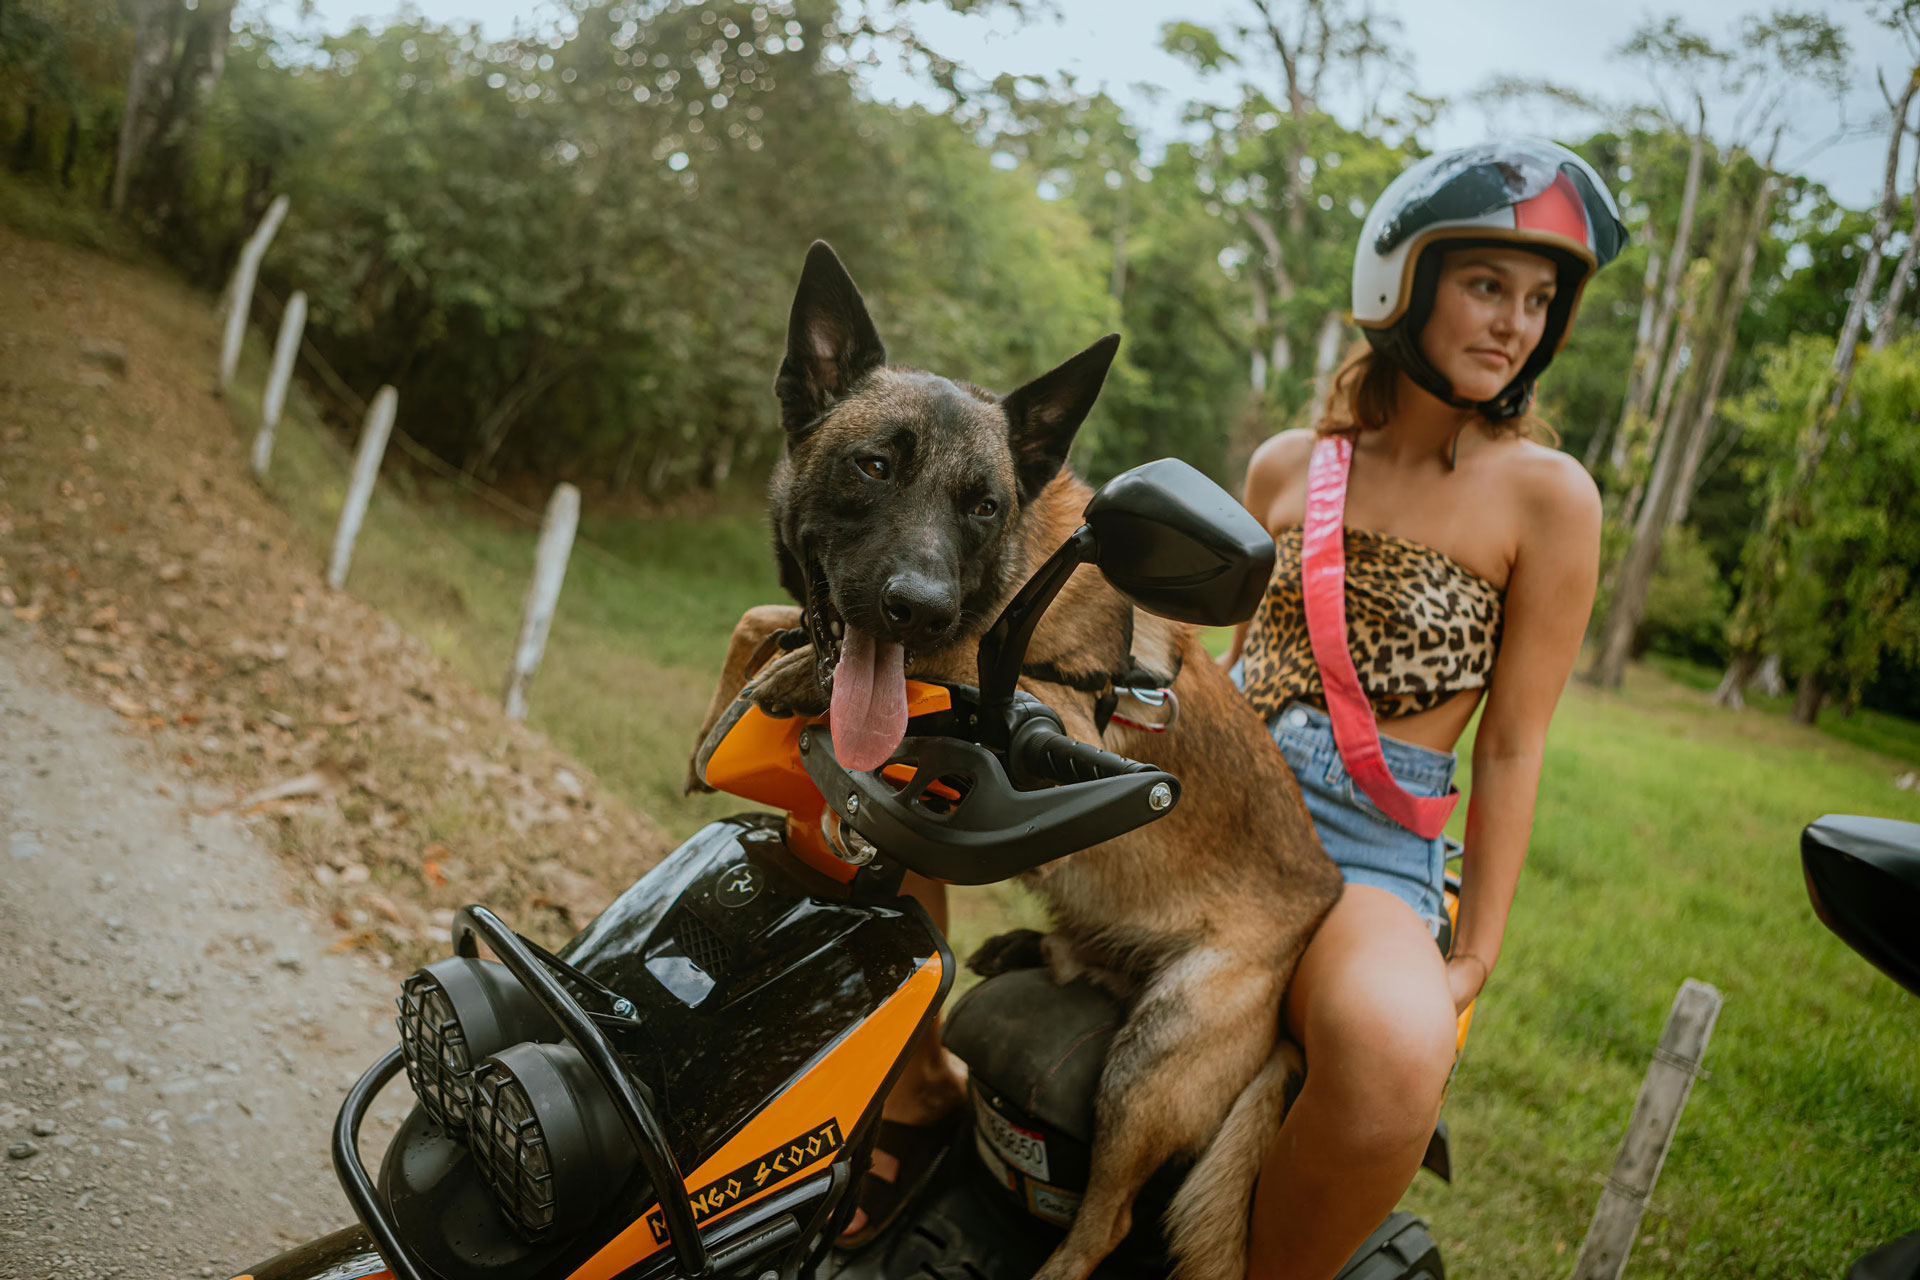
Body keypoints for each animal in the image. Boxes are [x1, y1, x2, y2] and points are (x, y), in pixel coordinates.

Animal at [691, 242, 1336, 1280]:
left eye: (984, 506)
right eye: (874, 466)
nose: (915, 604)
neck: (1022, 563)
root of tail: (1320, 919)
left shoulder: (1057, 714)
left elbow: (943, 662)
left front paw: (787, 684)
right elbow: (764, 619)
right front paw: (731, 709)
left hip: (1151, 1062)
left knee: (1103, 1223)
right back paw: (1032, 950)